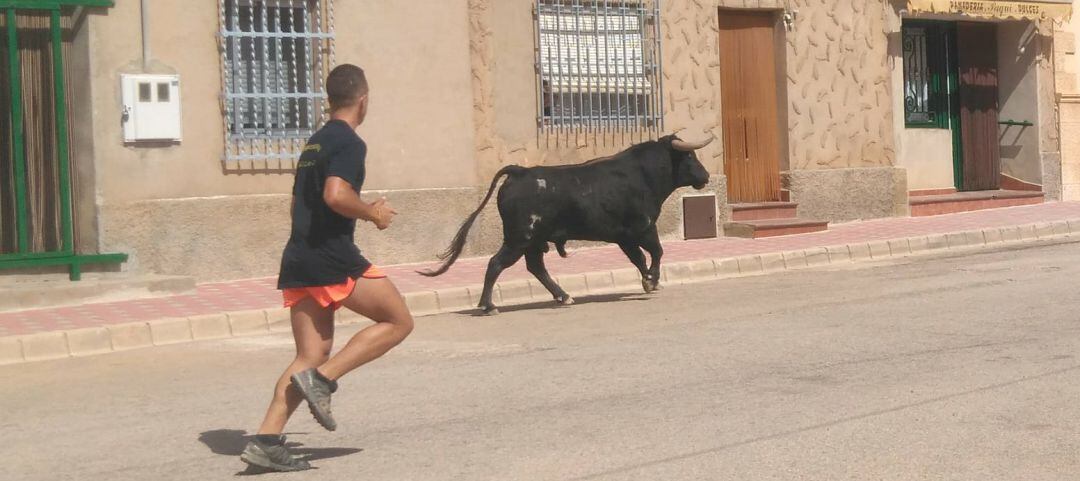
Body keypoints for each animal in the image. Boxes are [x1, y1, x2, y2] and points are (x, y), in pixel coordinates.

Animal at [416, 132, 712, 313]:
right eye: (690, 157)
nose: (706, 176)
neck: (644, 174)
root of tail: (520, 172)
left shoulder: (624, 237)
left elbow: (639, 258)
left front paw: (648, 280)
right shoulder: (643, 228)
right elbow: (656, 252)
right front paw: (652, 280)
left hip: (533, 241)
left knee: (536, 267)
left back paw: (563, 295)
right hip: (518, 238)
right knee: (496, 263)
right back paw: (489, 305)